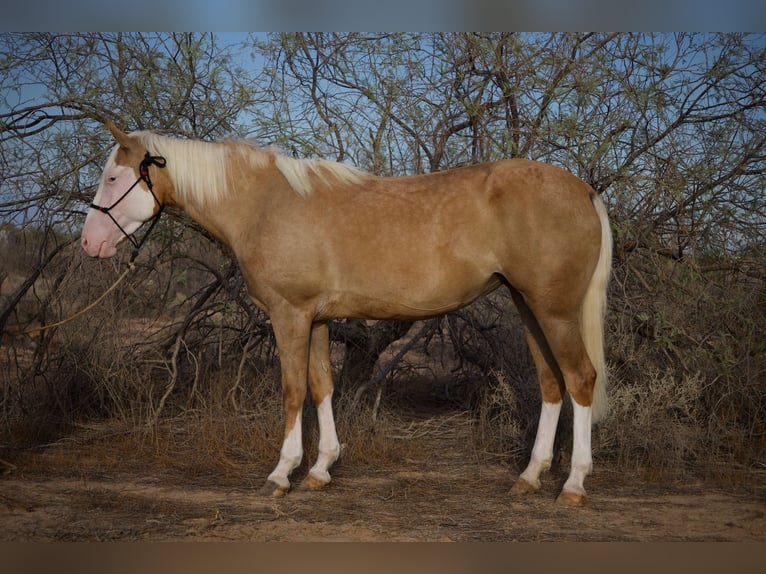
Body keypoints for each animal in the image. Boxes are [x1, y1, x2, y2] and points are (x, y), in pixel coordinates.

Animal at [81, 120, 612, 505]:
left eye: (112, 177)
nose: (89, 243)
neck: (263, 205)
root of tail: (583, 189)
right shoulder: (315, 318)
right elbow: (322, 386)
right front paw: (320, 470)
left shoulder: (289, 314)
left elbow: (293, 390)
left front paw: (281, 473)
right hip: (530, 307)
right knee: (551, 382)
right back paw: (530, 476)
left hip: (554, 310)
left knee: (580, 379)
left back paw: (573, 485)